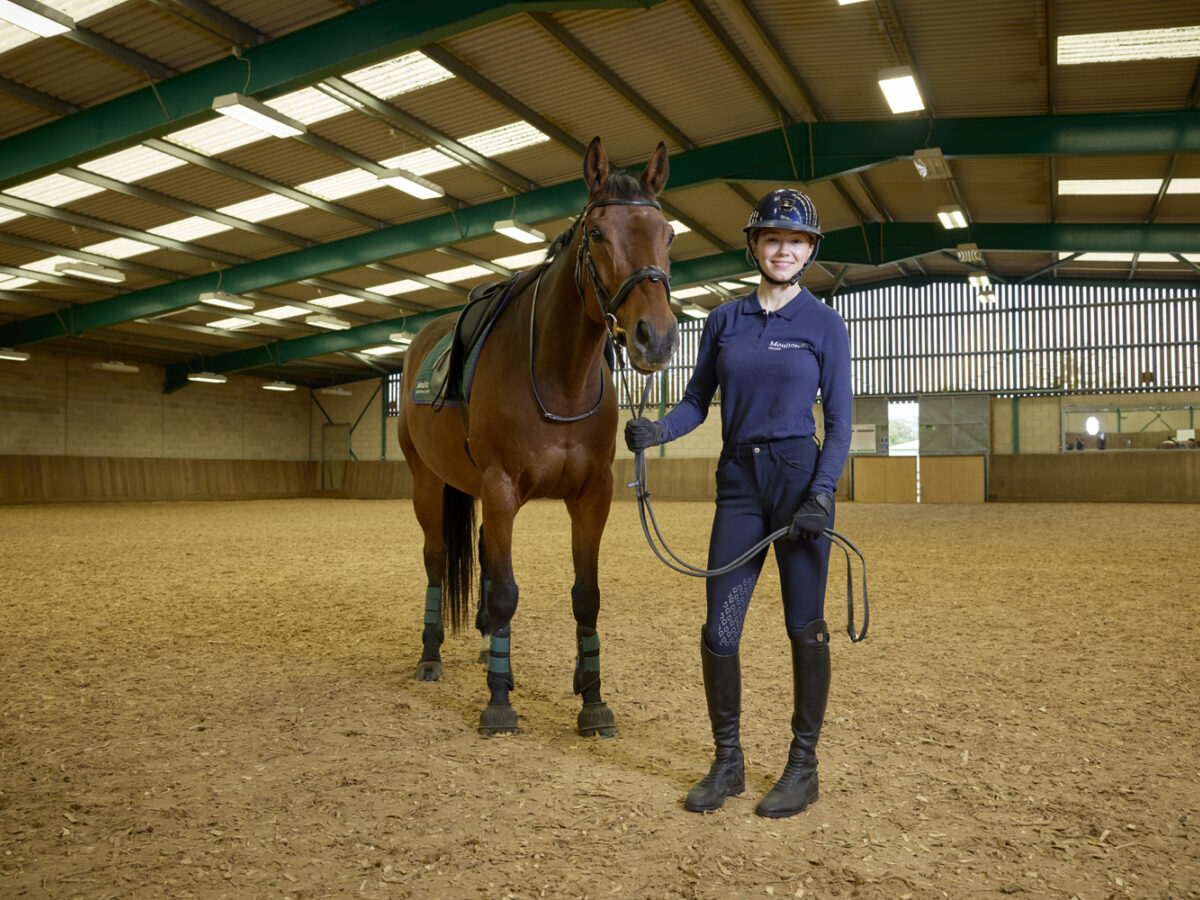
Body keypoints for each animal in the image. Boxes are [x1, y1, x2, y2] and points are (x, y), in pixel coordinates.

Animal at [398, 137, 681, 734]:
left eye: (667, 234)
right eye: (597, 234)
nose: (658, 338)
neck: (560, 379)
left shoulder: (591, 496)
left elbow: (586, 597)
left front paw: (593, 699)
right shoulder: (502, 487)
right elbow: (506, 591)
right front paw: (499, 703)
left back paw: (489, 645)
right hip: (427, 484)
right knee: (436, 559)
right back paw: (432, 655)